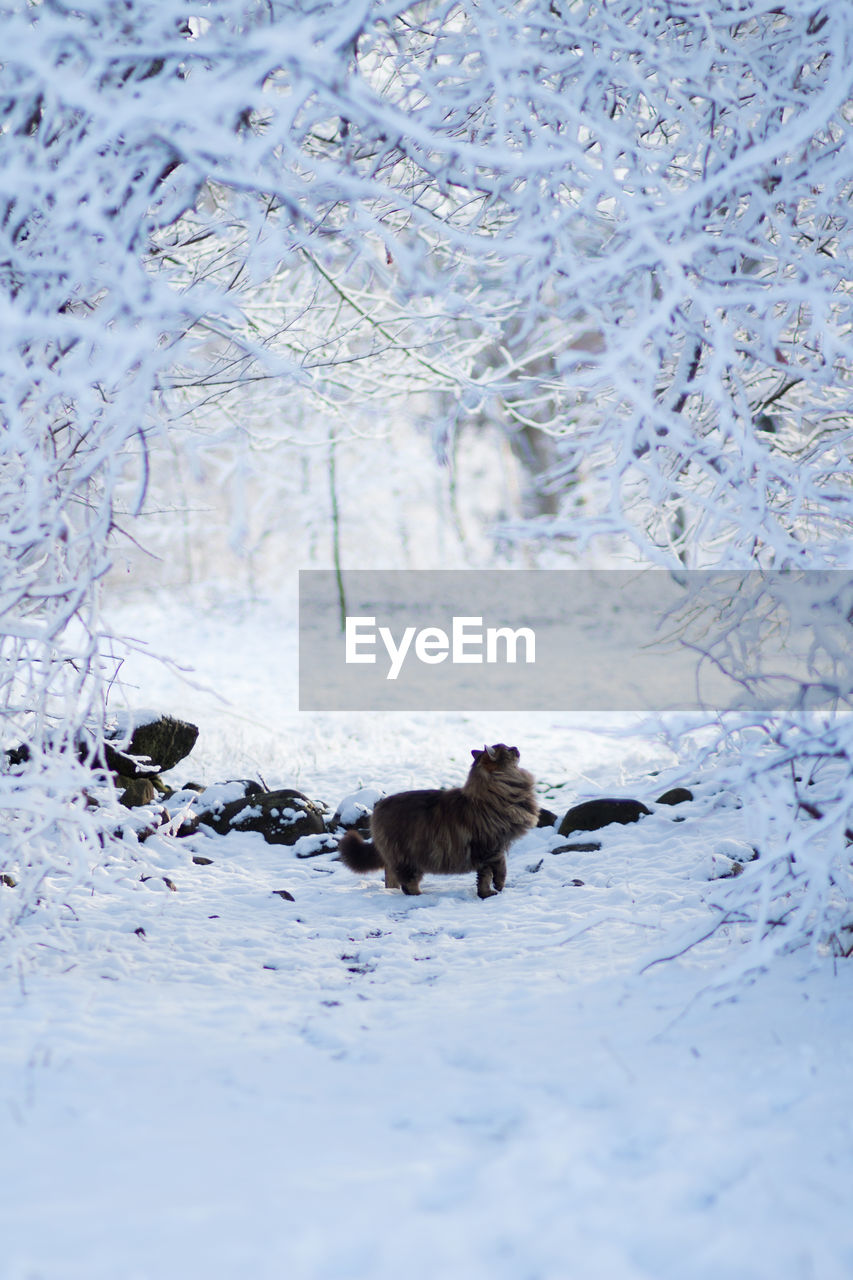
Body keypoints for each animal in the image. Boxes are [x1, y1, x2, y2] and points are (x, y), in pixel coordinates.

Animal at [335, 742, 535, 901]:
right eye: (508, 750)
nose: (516, 747)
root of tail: (378, 807)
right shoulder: (491, 847)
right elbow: (499, 870)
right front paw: (497, 887)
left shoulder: (488, 852)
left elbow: (484, 877)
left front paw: (486, 894)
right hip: (409, 858)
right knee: (408, 884)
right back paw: (420, 896)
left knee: (391, 877)